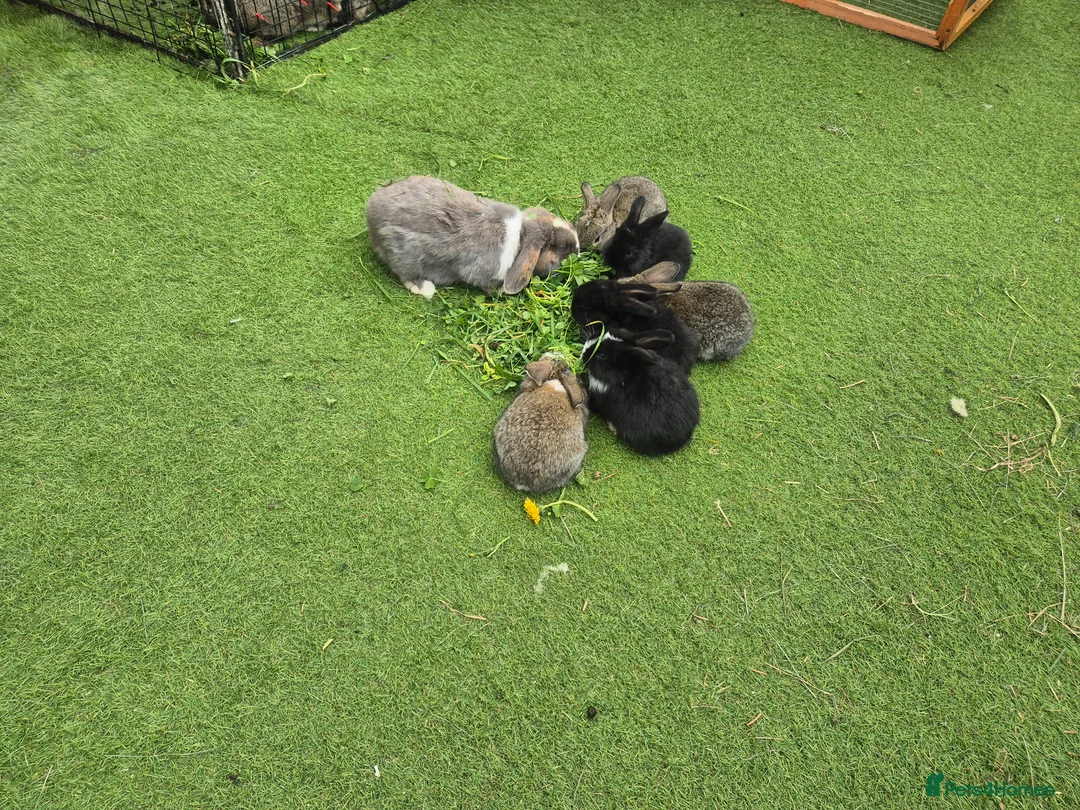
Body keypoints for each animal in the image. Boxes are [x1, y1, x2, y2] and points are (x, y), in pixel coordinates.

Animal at [365, 176, 579, 299]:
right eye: (561, 247)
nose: (578, 251)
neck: (520, 239)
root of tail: (371, 215)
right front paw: (501, 291)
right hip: (405, 254)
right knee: (405, 274)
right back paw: (425, 288)